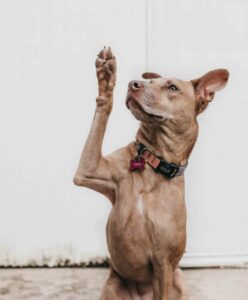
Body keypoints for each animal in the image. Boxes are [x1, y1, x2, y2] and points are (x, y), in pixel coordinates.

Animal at [73, 47, 229, 300]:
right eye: (150, 81)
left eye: (172, 87)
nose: (133, 83)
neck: (153, 163)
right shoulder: (88, 170)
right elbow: (102, 112)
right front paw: (106, 79)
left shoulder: (163, 264)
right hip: (112, 286)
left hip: (178, 278)